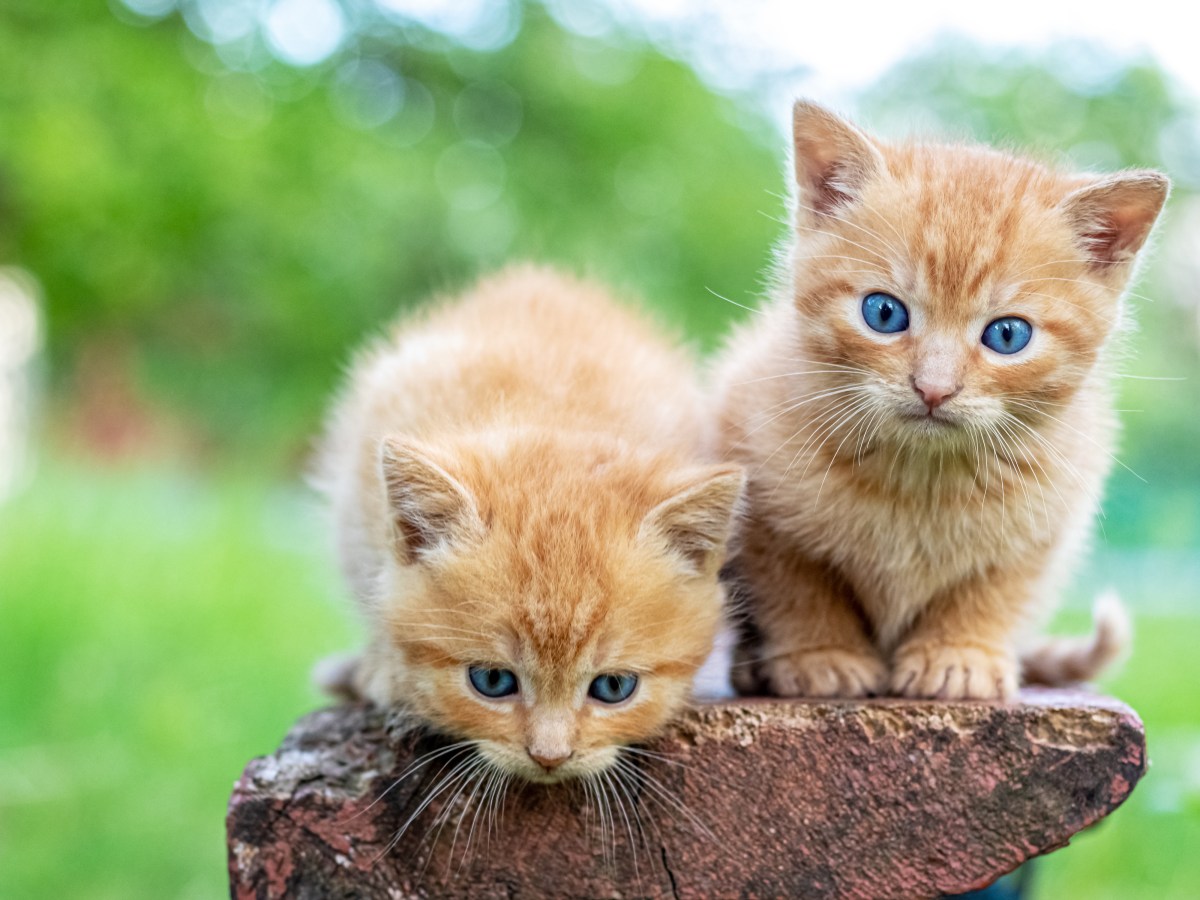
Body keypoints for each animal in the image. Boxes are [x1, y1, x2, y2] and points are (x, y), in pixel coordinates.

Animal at [715, 100, 1166, 705]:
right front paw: (822, 655)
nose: (934, 387)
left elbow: (993, 591)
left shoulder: (1046, 521)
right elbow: (797, 586)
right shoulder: (759, 499)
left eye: (1007, 335)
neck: (920, 479)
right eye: (883, 313)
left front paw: (958, 655)